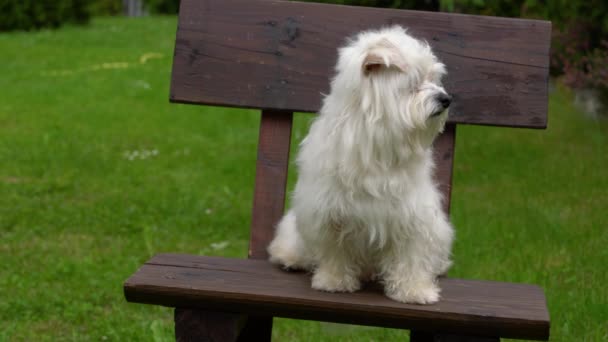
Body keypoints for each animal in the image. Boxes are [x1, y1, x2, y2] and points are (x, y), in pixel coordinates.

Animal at [268, 26, 454, 304]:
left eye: (435, 78)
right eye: (414, 83)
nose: (446, 99)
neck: (376, 142)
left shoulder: (413, 215)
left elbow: (411, 256)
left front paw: (414, 290)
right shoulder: (330, 212)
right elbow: (335, 252)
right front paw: (334, 282)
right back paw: (289, 258)